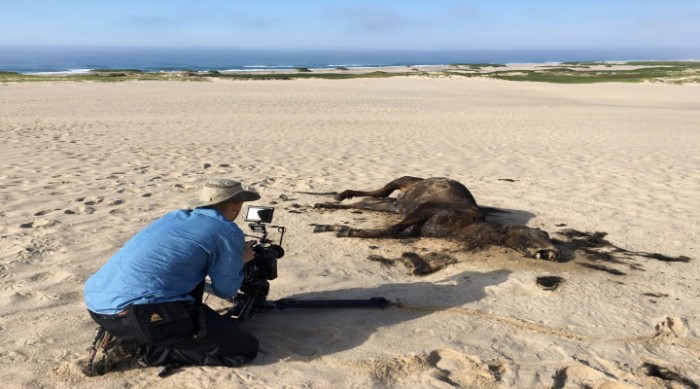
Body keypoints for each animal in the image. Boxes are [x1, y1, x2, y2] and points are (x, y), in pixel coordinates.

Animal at [314, 176, 560, 260]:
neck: (466, 225)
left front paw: (334, 227)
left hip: (394, 206)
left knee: (367, 203)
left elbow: (395, 229)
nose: (554, 253)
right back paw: (340, 195)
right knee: (380, 191)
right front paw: (343, 230)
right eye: (536, 233)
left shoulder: (413, 222)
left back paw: (327, 204)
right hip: (401, 182)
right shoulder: (424, 210)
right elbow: (392, 230)